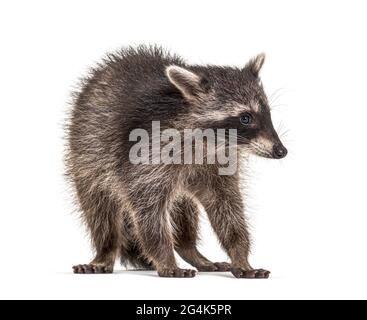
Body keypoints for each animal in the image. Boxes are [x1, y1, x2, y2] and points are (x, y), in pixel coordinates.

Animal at [66, 44, 288, 278]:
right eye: (246, 118)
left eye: (268, 114)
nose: (281, 151)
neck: (209, 144)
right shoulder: (144, 156)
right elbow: (148, 213)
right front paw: (165, 259)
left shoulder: (218, 166)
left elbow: (227, 206)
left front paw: (240, 254)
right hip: (86, 157)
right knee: (100, 210)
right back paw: (106, 250)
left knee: (184, 210)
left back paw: (190, 249)